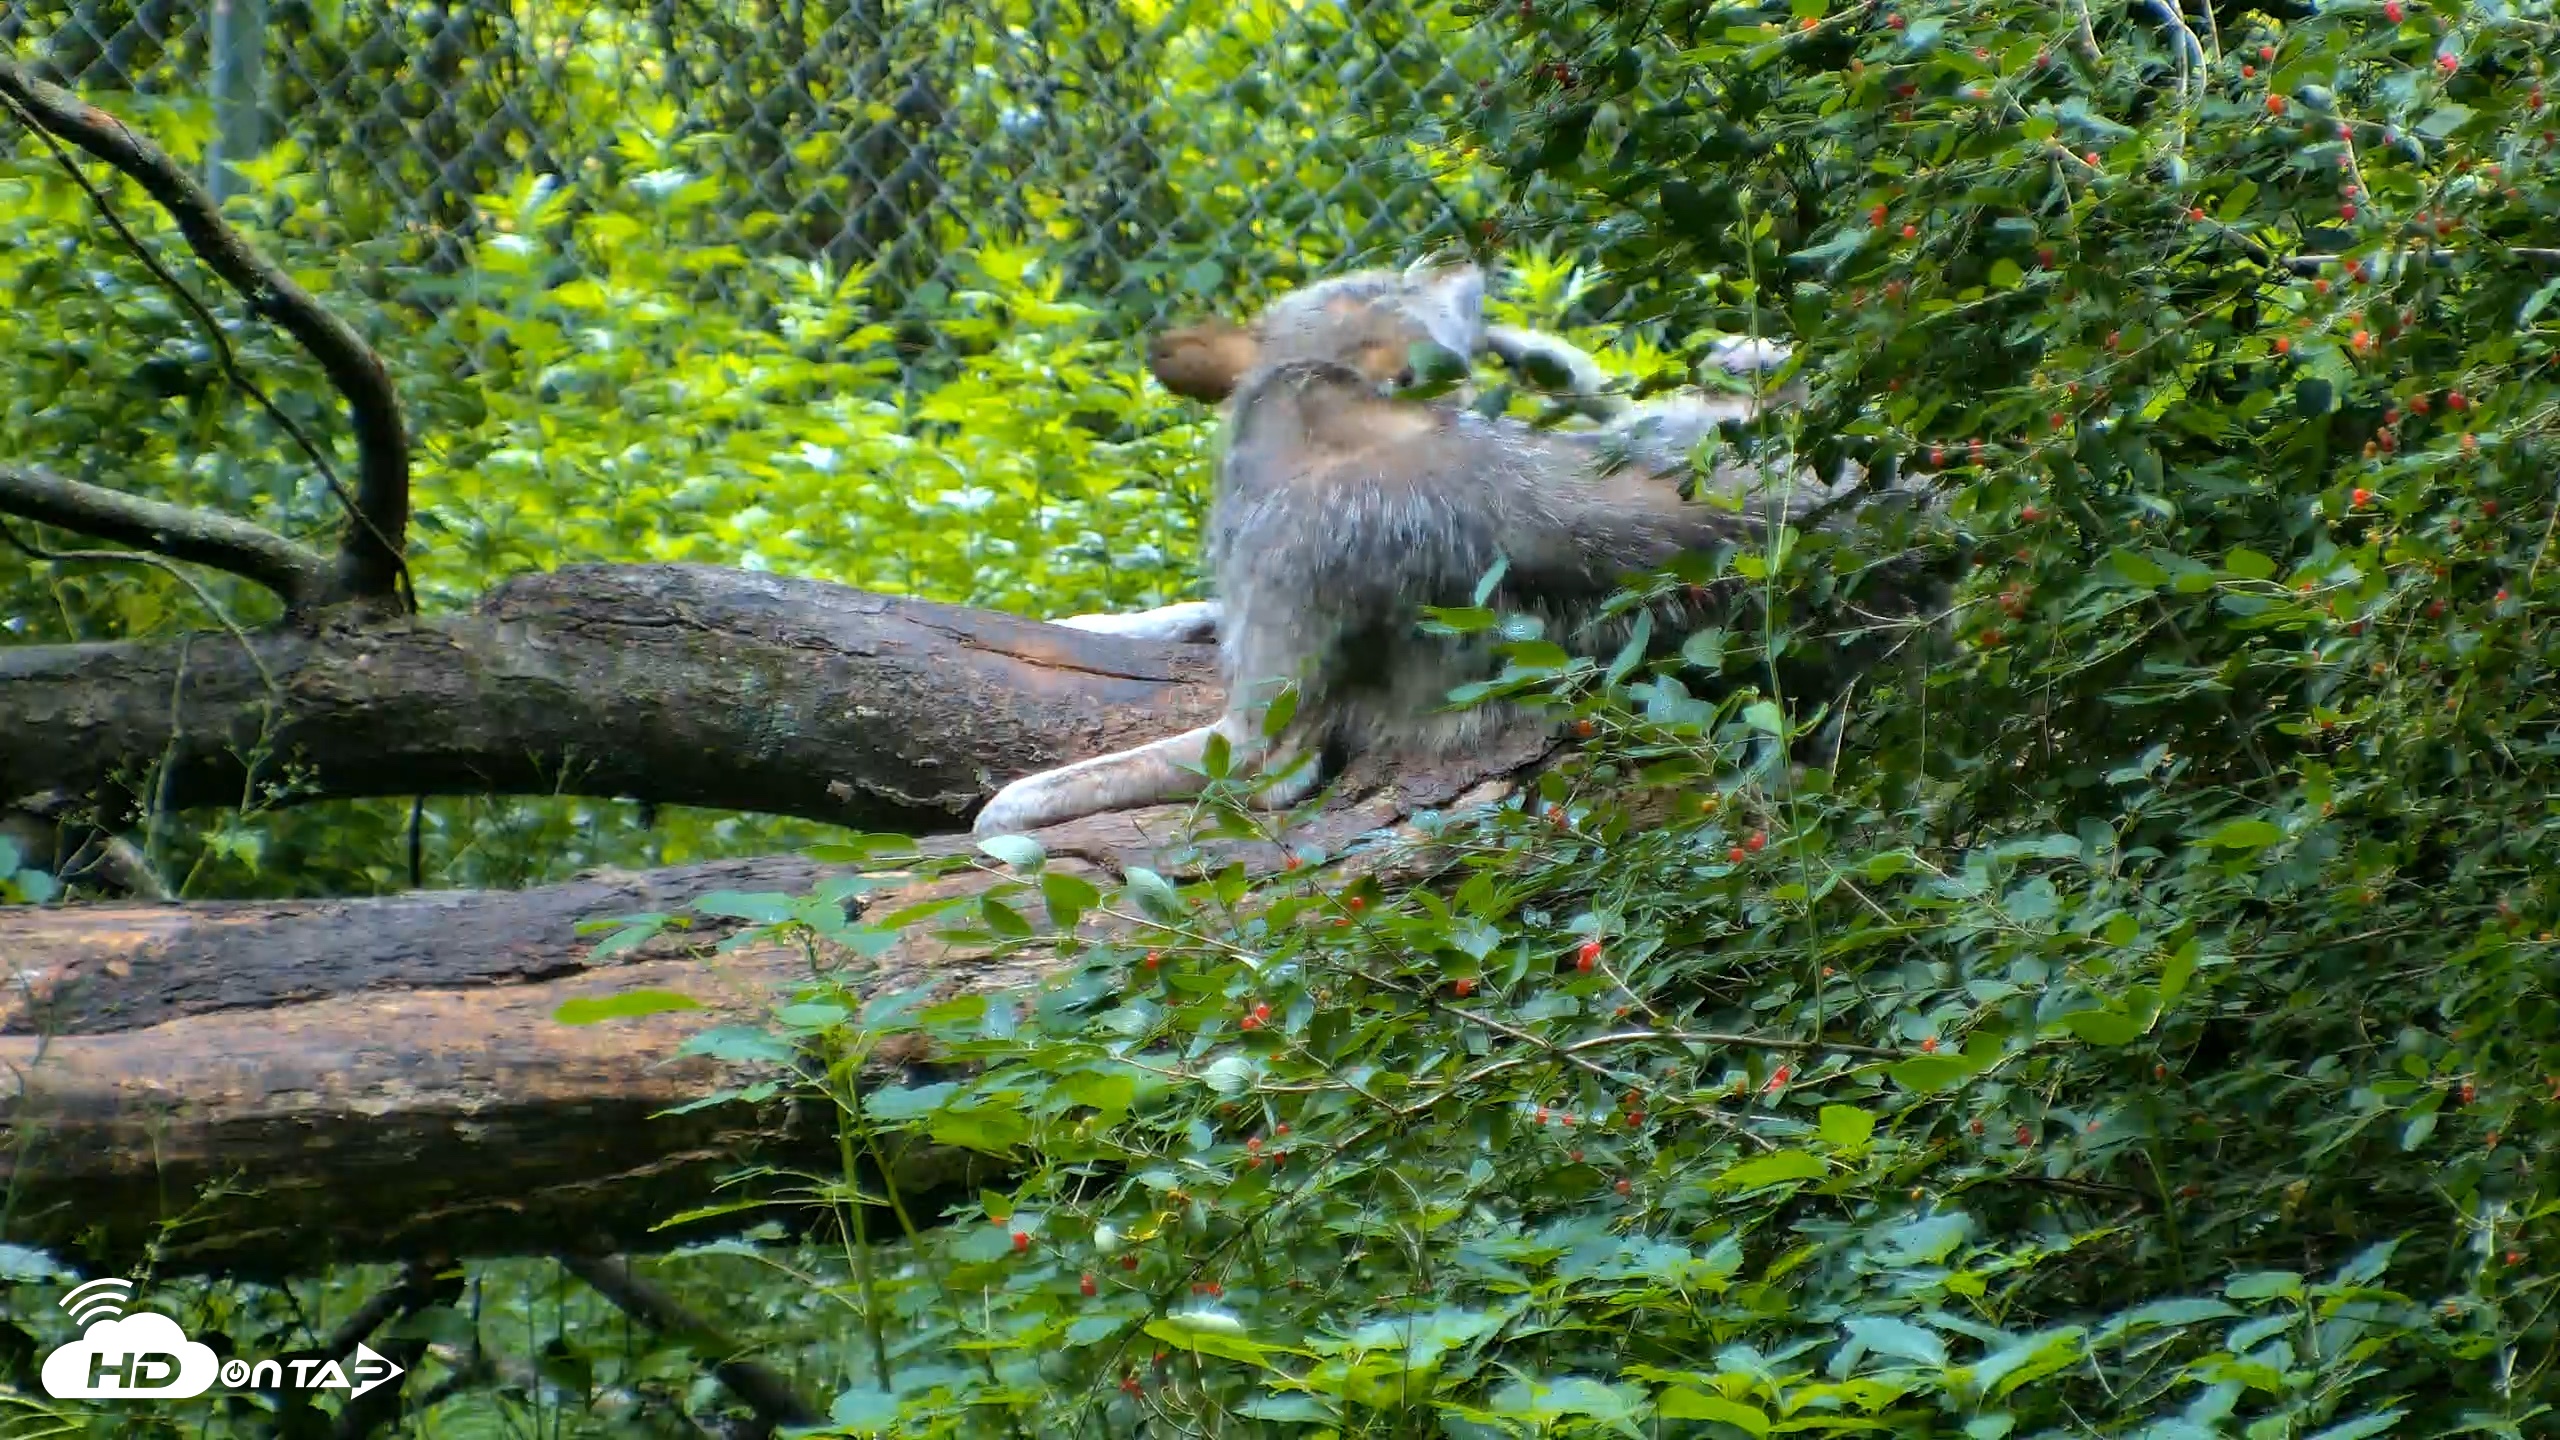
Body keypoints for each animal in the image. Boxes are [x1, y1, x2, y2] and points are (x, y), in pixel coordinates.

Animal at [977, 260, 1936, 836]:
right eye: (1384, 273)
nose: (1459, 257)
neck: (1327, 414)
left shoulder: (1262, 747)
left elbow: (1020, 799)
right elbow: (1168, 614)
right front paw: (1088, 623)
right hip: (1673, 427)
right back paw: (1553, 354)